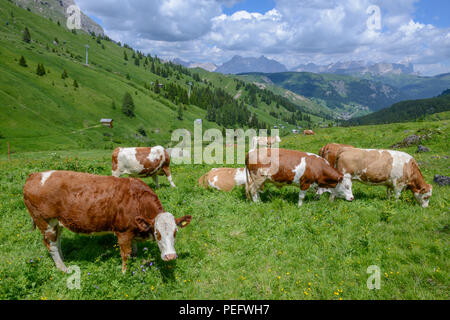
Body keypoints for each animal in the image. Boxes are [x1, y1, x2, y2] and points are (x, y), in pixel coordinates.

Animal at [23, 171, 192, 274]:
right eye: (157, 233)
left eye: (175, 232)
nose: (170, 256)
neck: (137, 199)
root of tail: (35, 175)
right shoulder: (123, 232)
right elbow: (125, 254)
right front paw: (124, 272)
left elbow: (134, 250)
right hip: (45, 222)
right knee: (51, 245)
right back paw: (63, 268)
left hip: (57, 223)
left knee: (57, 242)